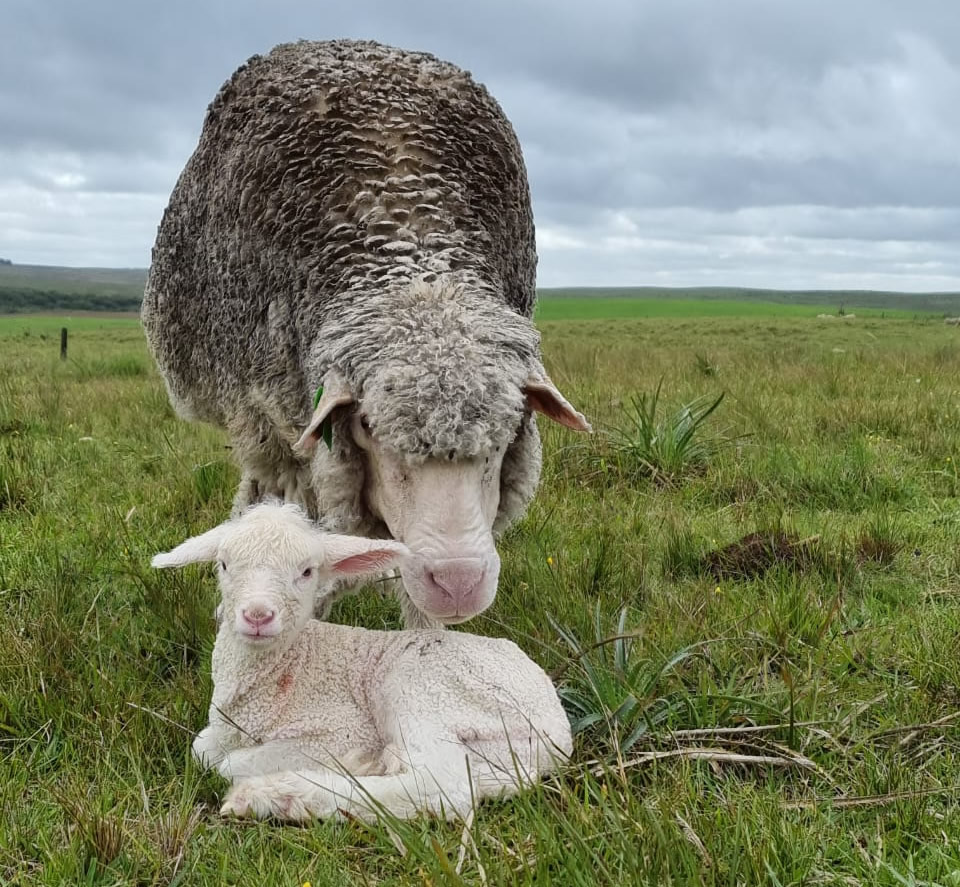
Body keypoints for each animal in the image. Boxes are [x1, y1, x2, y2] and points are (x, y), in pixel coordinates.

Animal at [150, 502, 568, 824]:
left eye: (307, 572)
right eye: (223, 565)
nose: (257, 615)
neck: (291, 668)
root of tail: (557, 731)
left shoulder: (342, 729)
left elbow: (227, 763)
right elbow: (201, 750)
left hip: (424, 691)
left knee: (443, 789)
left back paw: (276, 796)